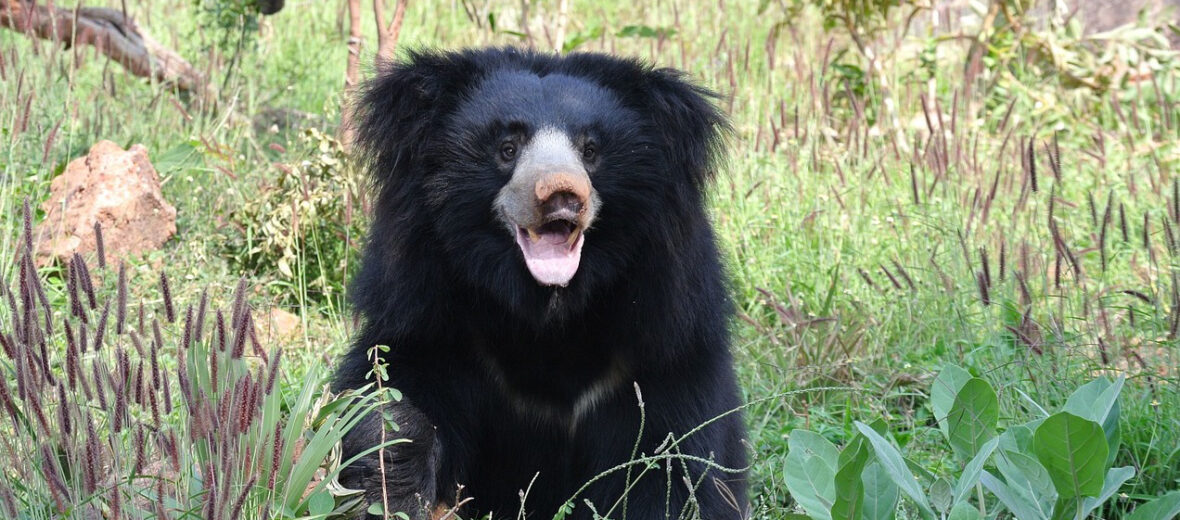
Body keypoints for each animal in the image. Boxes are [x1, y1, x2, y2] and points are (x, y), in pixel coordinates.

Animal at [335, 48, 745, 518]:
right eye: (507, 148)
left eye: (590, 150)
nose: (562, 194)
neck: (547, 311)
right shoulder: (428, 310)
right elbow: (393, 392)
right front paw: (394, 483)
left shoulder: (665, 337)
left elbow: (675, 457)